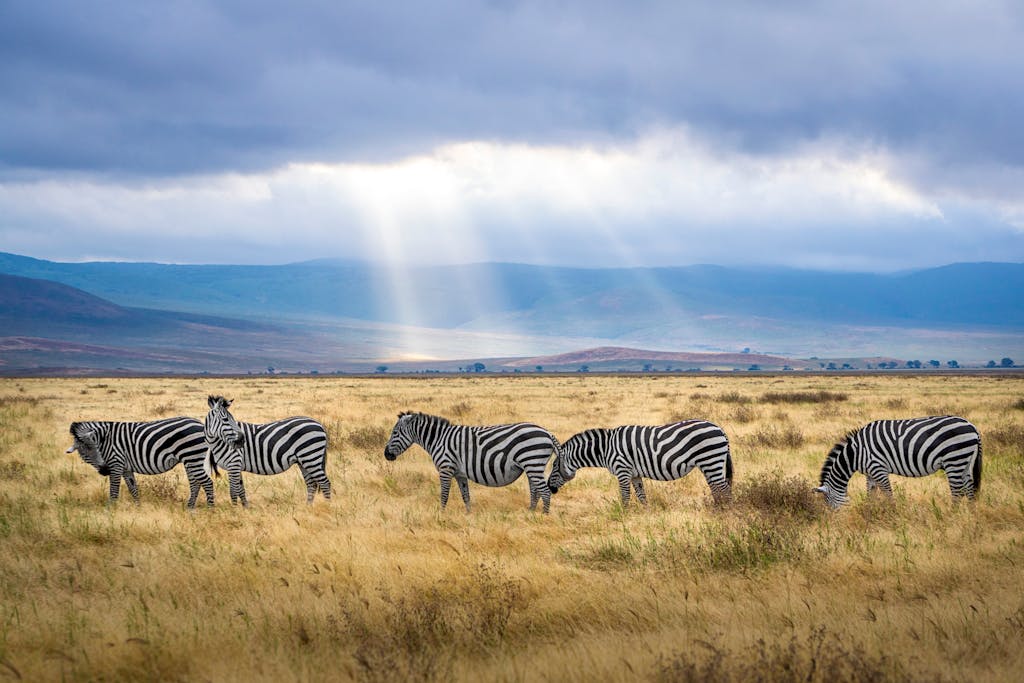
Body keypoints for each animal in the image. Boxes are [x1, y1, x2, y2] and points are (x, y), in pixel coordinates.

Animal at [66, 417, 214, 508]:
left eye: (96, 448)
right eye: (84, 453)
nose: (104, 470)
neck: (105, 440)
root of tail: (201, 424)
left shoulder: (116, 463)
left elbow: (114, 490)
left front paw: (110, 510)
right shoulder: (125, 468)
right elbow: (133, 488)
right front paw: (138, 507)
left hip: (193, 458)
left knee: (207, 482)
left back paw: (210, 509)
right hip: (190, 460)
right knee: (195, 484)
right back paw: (190, 508)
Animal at [203, 396, 331, 507]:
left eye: (232, 419)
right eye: (225, 419)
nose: (242, 440)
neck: (218, 442)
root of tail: (319, 424)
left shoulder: (234, 463)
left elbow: (233, 491)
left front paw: (234, 510)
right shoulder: (236, 465)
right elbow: (241, 490)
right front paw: (245, 508)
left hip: (311, 457)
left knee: (325, 483)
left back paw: (328, 506)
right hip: (304, 461)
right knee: (311, 484)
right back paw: (308, 507)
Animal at [383, 411, 560, 513]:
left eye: (395, 432)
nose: (386, 455)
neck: (438, 439)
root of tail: (547, 433)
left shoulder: (445, 468)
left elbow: (444, 495)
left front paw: (441, 515)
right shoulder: (460, 474)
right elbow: (466, 495)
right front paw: (469, 515)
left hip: (532, 462)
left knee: (545, 492)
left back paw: (543, 517)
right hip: (532, 466)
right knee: (535, 490)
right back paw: (530, 513)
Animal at [547, 420, 733, 507]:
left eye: (554, 467)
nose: (550, 487)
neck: (605, 449)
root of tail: (720, 429)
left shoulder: (622, 470)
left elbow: (625, 496)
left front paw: (624, 516)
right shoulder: (634, 474)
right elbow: (641, 495)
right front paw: (645, 515)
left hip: (711, 459)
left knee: (724, 488)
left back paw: (726, 511)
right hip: (710, 464)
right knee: (716, 488)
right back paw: (717, 508)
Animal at [815, 415, 982, 509]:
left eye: (829, 503)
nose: (835, 522)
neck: (855, 453)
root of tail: (972, 426)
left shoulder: (878, 468)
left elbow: (888, 494)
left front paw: (893, 514)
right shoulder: (870, 473)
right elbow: (871, 494)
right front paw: (869, 512)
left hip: (954, 459)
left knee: (957, 492)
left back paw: (951, 516)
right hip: (965, 461)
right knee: (969, 489)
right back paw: (971, 517)